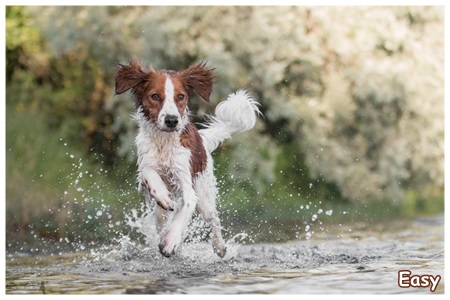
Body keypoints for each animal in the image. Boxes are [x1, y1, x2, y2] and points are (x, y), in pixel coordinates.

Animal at [115, 61, 260, 258]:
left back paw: (219, 246)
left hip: (203, 194)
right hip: (161, 214)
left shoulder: (187, 184)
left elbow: (186, 207)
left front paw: (170, 242)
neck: (164, 142)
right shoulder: (144, 173)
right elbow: (148, 172)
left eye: (181, 96)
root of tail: (202, 139)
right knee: (162, 220)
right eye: (155, 96)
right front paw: (162, 194)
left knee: (213, 218)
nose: (171, 120)